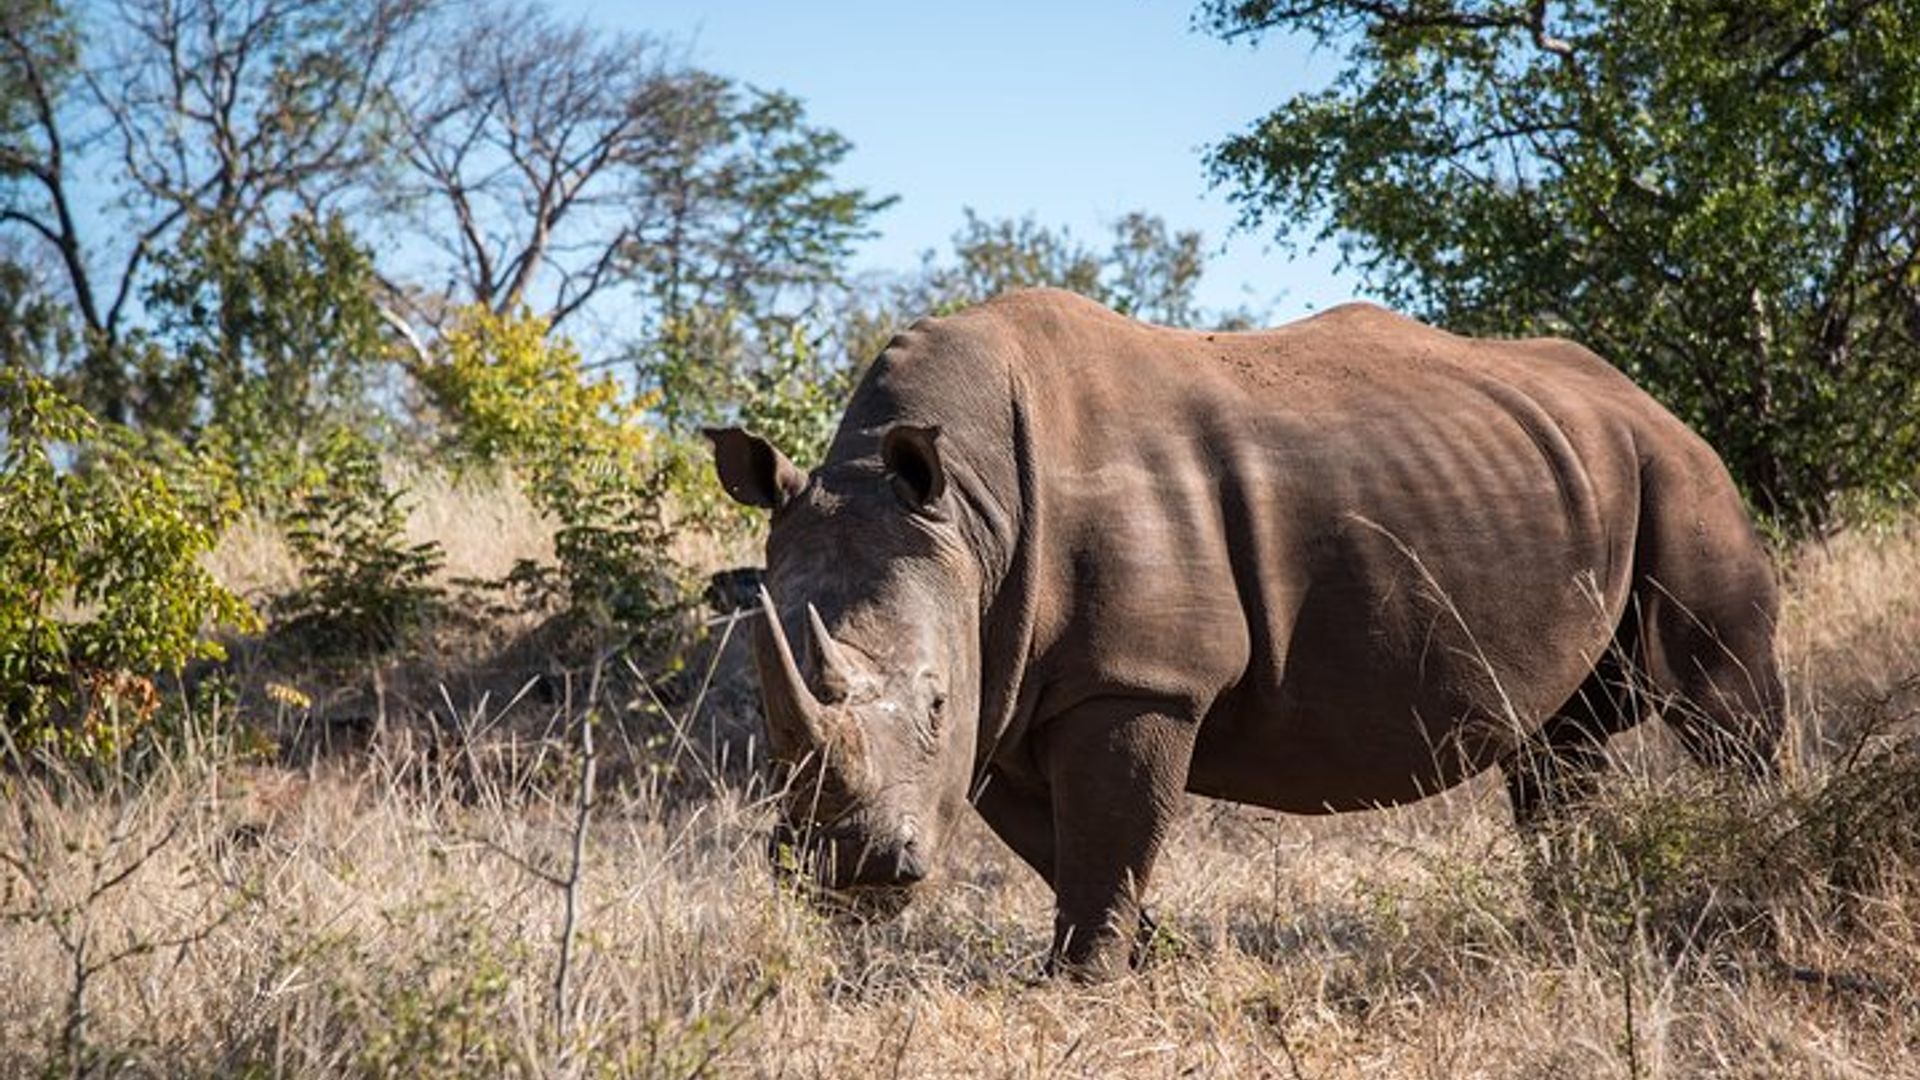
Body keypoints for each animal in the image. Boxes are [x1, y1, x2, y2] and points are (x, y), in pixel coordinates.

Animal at [706, 288, 1781, 979]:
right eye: (768, 719)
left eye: (933, 702)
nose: (848, 872)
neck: (969, 514)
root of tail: (1651, 401)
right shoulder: (1003, 689)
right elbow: (1065, 845)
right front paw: (1149, 958)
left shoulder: (1136, 679)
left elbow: (1109, 835)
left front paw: (1082, 981)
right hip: (1571, 472)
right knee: (1559, 747)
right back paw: (1571, 920)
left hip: (1684, 476)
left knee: (1723, 712)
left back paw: (1765, 887)